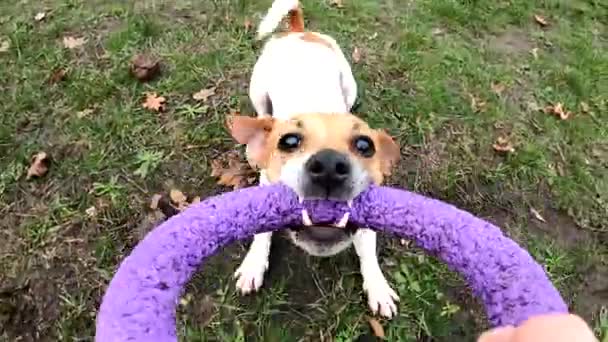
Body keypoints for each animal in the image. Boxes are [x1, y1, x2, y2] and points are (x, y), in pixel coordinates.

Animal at [226, 0, 402, 318]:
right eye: (289, 141)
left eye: (365, 145)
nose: (330, 166)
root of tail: (299, 31)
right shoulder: (265, 185)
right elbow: (262, 230)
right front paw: (254, 264)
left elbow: (368, 249)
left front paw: (378, 287)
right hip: (257, 89)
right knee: (262, 111)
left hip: (349, 83)